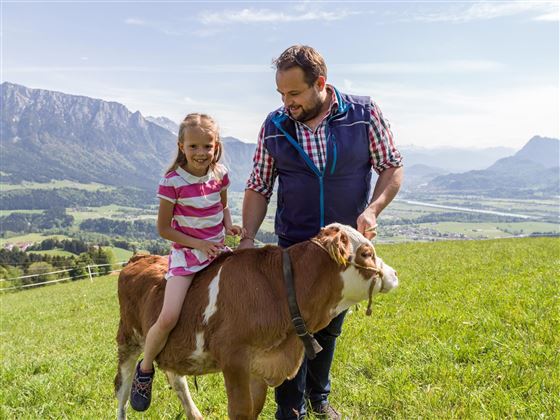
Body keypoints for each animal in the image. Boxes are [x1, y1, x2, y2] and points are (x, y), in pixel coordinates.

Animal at [115, 223, 398, 416]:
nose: (394, 274)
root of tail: (140, 257)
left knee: (177, 379)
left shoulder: (260, 366)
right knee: (123, 387)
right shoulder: (234, 360)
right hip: (129, 338)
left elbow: (254, 408)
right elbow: (241, 411)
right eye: (366, 253)